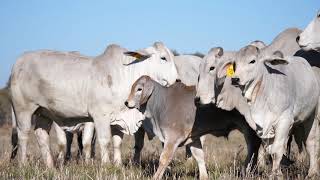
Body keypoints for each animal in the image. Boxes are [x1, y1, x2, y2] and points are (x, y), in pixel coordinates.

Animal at [10, 42, 179, 167]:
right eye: (163, 58)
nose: (177, 80)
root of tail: (19, 62)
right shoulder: (100, 116)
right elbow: (104, 141)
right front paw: (106, 166)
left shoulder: (118, 118)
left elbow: (117, 143)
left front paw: (118, 165)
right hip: (23, 110)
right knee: (23, 135)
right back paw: (23, 164)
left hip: (43, 112)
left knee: (41, 135)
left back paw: (51, 167)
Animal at [124, 75, 262, 180]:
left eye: (139, 89)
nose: (126, 102)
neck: (161, 103)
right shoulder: (193, 138)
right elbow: (199, 156)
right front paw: (204, 176)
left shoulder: (173, 138)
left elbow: (164, 159)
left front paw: (155, 177)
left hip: (249, 127)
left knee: (253, 147)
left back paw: (246, 170)